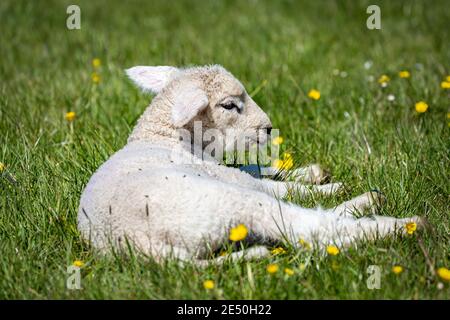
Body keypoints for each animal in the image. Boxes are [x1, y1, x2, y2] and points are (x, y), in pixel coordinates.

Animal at [76, 63, 422, 264]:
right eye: (230, 105)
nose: (269, 128)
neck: (160, 135)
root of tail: (137, 244)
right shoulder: (224, 176)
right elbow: (278, 187)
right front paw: (324, 185)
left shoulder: (223, 168)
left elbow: (254, 167)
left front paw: (310, 171)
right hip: (222, 201)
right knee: (309, 227)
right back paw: (394, 221)